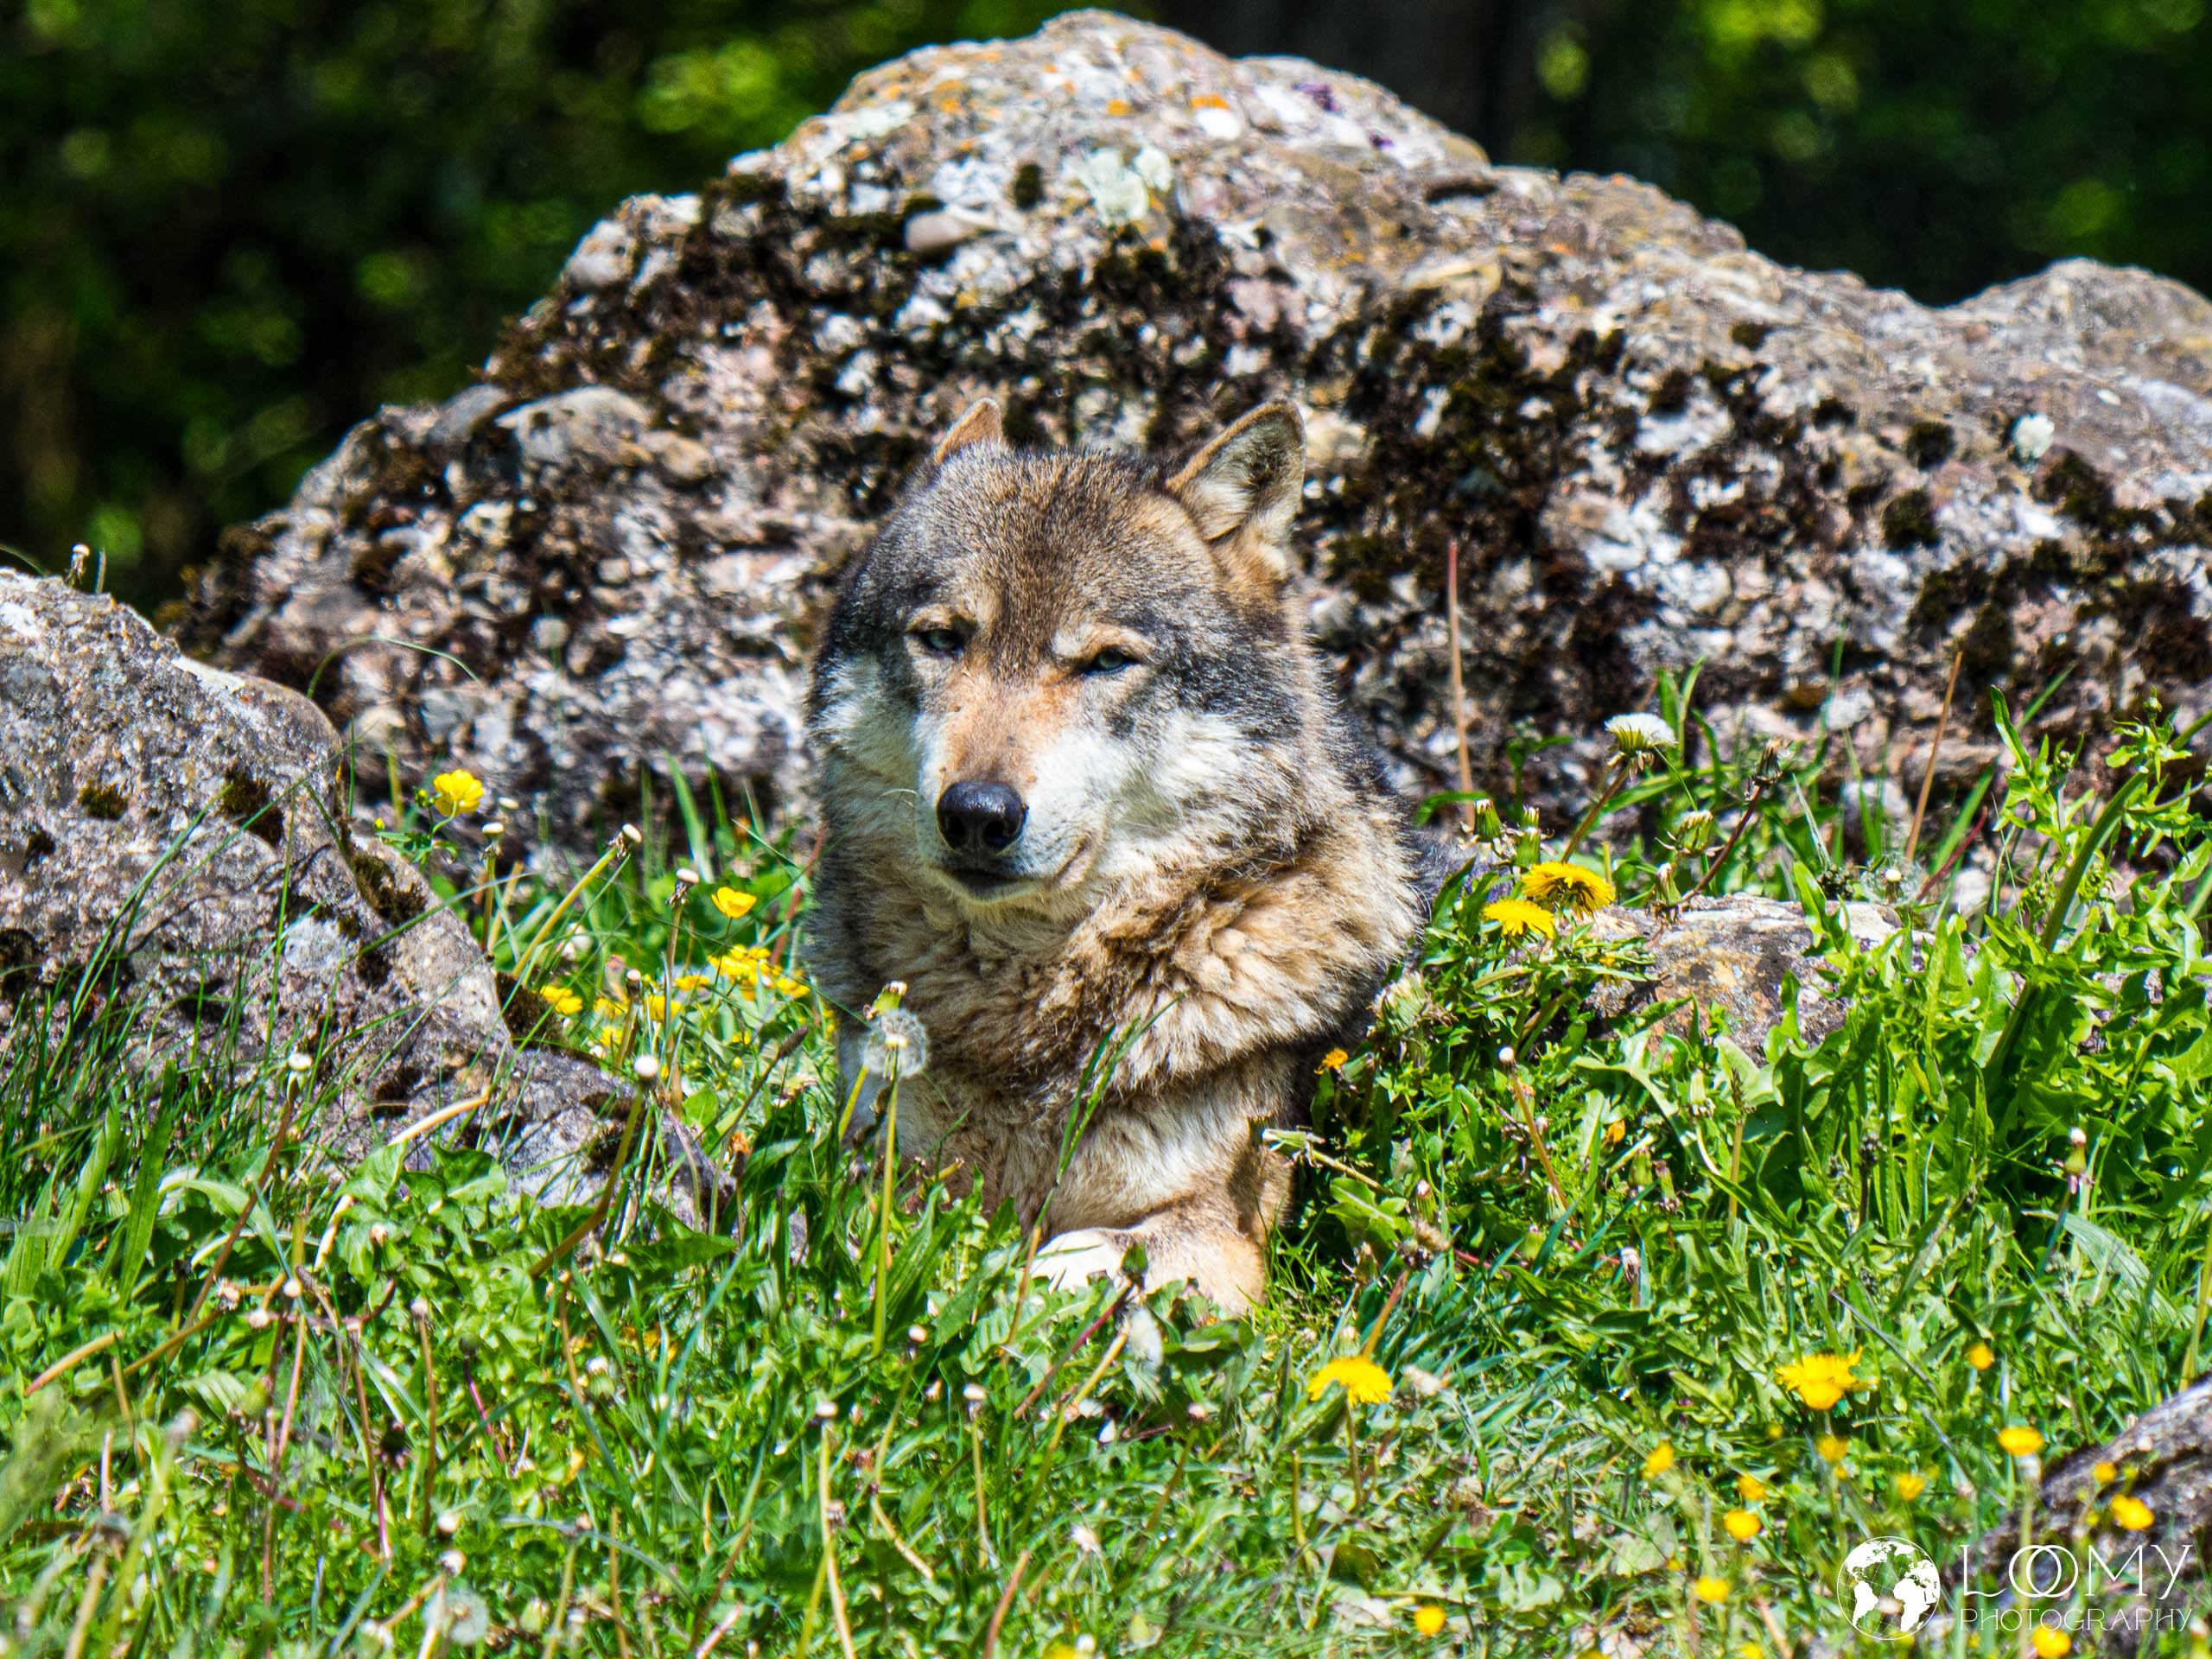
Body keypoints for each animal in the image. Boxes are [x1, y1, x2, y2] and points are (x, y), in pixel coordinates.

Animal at [804, 398, 1427, 1312]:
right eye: (944, 639)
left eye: (1106, 661)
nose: (977, 815)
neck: (1023, 1025)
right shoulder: (874, 1160)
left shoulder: (1223, 1233)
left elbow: (1067, 1261)